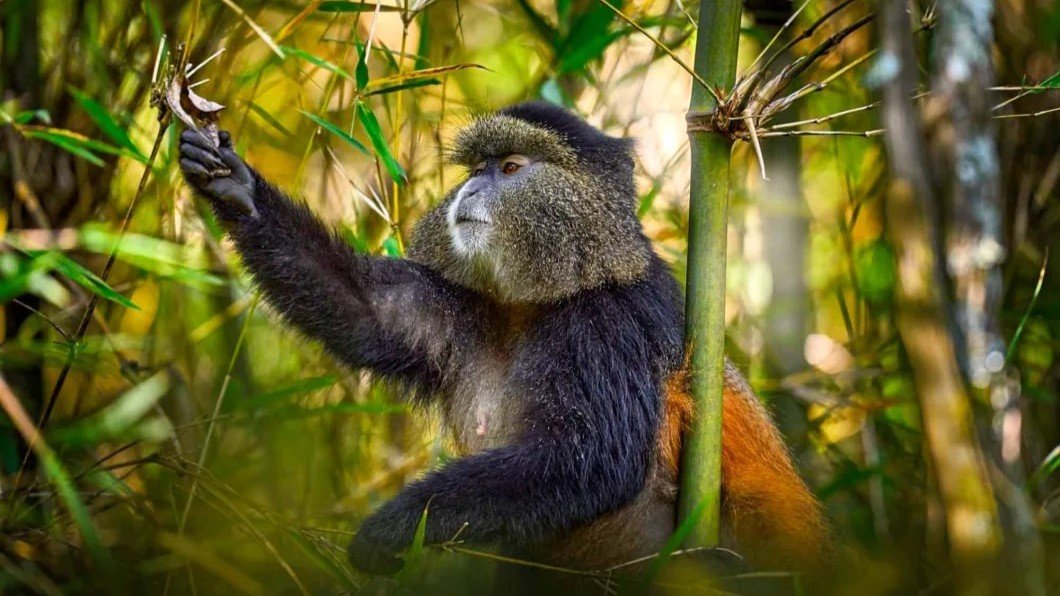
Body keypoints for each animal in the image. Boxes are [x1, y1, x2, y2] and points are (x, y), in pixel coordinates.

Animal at [178, 102, 828, 578]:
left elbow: (589, 457)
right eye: (475, 169)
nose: (469, 192)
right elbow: (368, 312)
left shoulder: (612, 323)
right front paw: (235, 186)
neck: (539, 303)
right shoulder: (465, 309)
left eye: (512, 168)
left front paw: (393, 527)